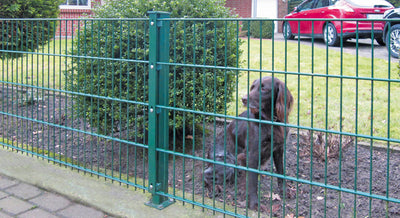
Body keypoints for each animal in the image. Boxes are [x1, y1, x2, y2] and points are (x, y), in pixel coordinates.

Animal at [203, 76, 294, 209]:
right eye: (252, 87)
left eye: (264, 89)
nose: (243, 99)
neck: (269, 120)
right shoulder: (252, 154)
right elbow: (252, 181)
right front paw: (254, 204)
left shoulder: (278, 149)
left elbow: (281, 172)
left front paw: (284, 191)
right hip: (229, 162)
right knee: (204, 174)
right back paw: (215, 188)